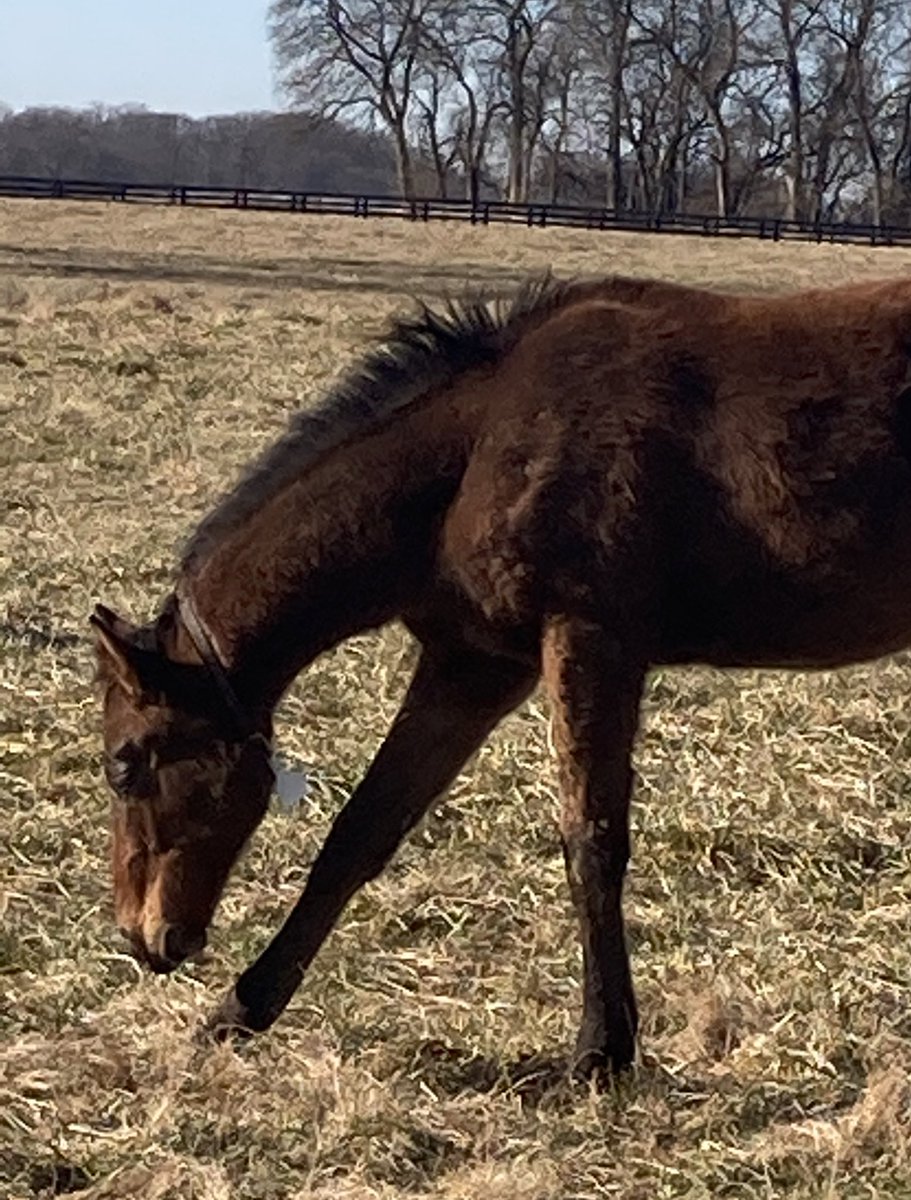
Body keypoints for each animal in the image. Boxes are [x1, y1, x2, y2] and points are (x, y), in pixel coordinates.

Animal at [92, 272, 911, 1079]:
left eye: (124, 765)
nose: (142, 937)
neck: (477, 450)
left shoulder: (587, 638)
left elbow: (591, 839)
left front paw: (602, 1050)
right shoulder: (474, 664)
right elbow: (362, 830)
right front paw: (241, 1008)